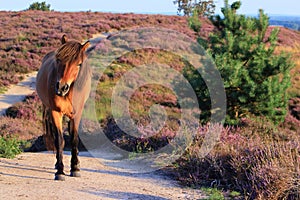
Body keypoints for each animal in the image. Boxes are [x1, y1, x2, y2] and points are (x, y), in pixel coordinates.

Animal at [36, 35, 91, 180]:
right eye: (59, 59)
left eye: (79, 64)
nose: (61, 87)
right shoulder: (55, 112)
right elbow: (60, 140)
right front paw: (60, 171)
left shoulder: (77, 114)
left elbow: (74, 139)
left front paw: (75, 168)